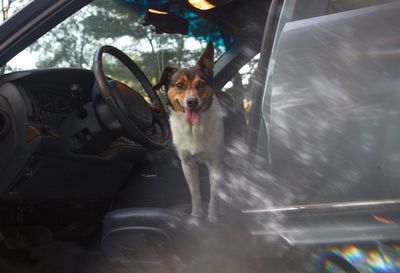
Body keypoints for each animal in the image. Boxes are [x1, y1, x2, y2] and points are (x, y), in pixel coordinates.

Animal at [152, 42, 223, 221]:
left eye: (201, 85)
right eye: (179, 85)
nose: (192, 102)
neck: (193, 129)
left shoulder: (215, 163)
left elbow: (214, 195)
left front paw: (213, 218)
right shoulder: (187, 164)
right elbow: (195, 193)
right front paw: (196, 215)